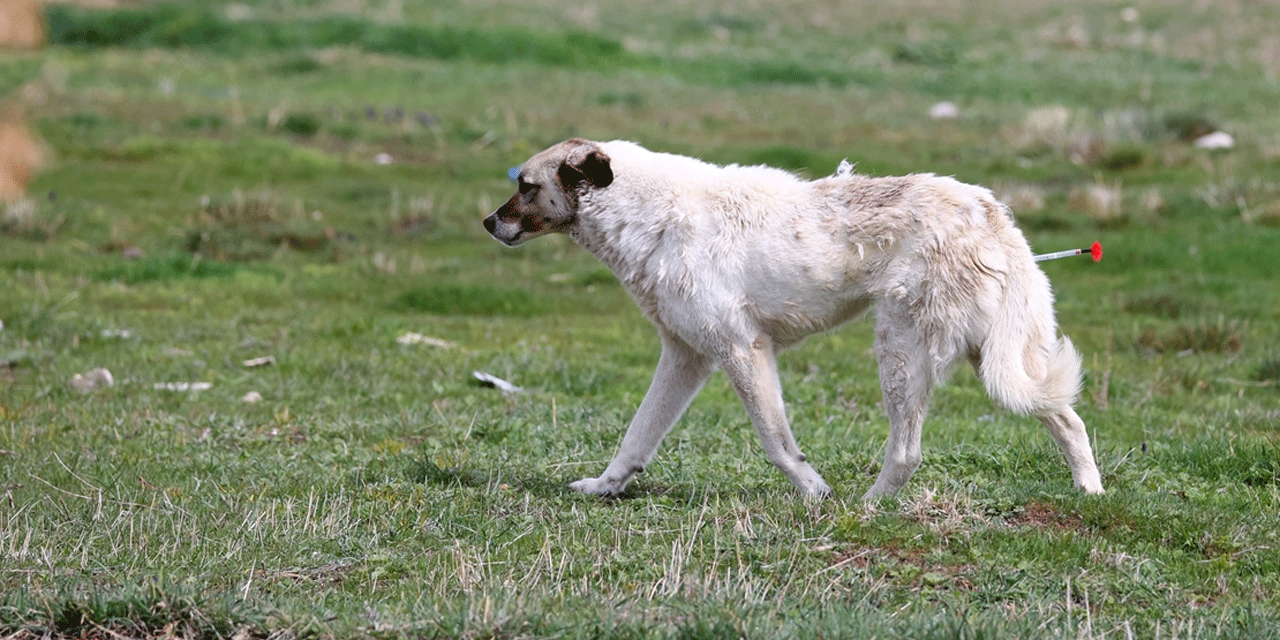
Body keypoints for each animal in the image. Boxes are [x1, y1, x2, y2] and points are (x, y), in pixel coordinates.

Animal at [481, 138, 1100, 499]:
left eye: (526, 186)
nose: (487, 223)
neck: (649, 212)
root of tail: (989, 211)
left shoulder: (742, 350)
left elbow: (776, 441)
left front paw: (813, 491)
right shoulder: (686, 358)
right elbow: (636, 437)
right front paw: (604, 488)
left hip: (902, 352)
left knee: (907, 452)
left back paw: (865, 509)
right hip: (989, 355)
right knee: (1067, 418)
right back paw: (1090, 494)